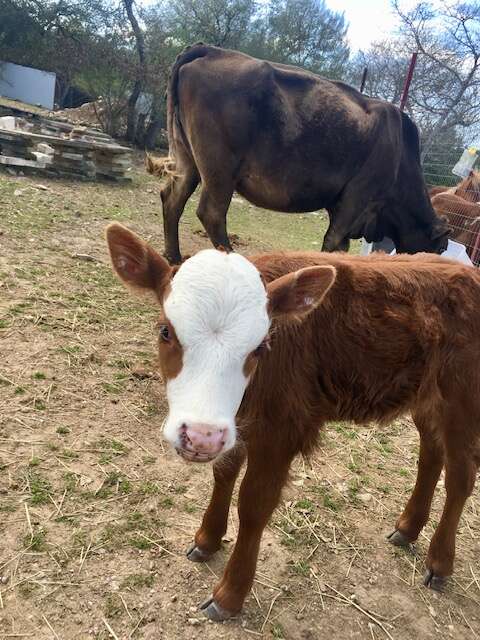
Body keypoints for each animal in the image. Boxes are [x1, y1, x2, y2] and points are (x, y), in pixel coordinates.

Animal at [106, 223, 479, 622]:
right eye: (165, 331)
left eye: (260, 346)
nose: (201, 436)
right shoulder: (236, 425)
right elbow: (223, 474)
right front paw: (207, 540)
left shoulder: (281, 428)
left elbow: (254, 504)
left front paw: (230, 594)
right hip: (426, 399)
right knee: (431, 456)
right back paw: (408, 528)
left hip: (462, 401)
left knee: (460, 477)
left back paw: (440, 562)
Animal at [148, 43, 449, 264]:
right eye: (440, 248)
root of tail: (211, 49)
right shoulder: (356, 197)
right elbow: (334, 241)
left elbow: (340, 245)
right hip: (219, 170)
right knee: (212, 213)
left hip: (188, 160)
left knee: (173, 198)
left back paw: (173, 256)